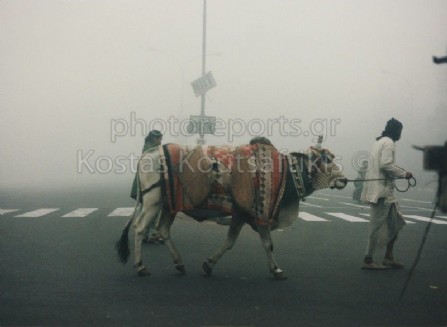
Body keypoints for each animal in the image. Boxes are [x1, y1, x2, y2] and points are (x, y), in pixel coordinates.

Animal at [115, 140, 346, 280]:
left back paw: (179, 263)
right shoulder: (259, 215)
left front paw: (209, 264)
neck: (286, 173)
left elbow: (230, 241)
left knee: (162, 230)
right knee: (139, 227)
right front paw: (277, 269)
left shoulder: (240, 215)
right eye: (326, 159)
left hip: (169, 205)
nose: (344, 180)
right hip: (152, 201)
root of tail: (149, 152)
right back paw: (140, 266)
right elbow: (267, 244)